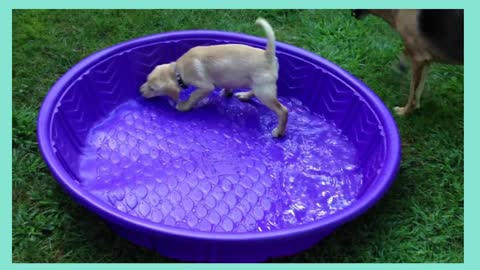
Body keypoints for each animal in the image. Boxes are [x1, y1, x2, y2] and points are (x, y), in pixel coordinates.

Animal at [140, 17, 288, 137]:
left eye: (152, 89)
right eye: (146, 80)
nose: (140, 91)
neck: (178, 71)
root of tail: (268, 55)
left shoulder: (206, 87)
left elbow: (193, 95)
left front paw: (184, 106)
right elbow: (227, 85)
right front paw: (227, 92)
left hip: (264, 92)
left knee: (283, 111)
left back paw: (278, 132)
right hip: (258, 85)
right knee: (254, 90)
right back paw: (245, 95)